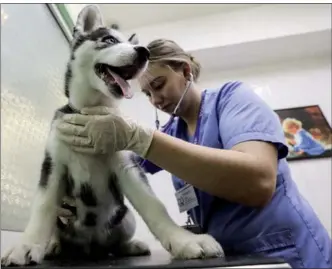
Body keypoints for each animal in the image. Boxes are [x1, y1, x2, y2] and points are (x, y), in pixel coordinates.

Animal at [0, 4, 223, 266]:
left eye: (133, 43)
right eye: (109, 40)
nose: (144, 52)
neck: (91, 111)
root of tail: (90, 246)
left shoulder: (127, 166)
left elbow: (154, 205)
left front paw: (184, 240)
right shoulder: (53, 165)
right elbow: (44, 206)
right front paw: (27, 244)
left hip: (125, 216)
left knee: (115, 243)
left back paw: (129, 246)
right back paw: (54, 245)